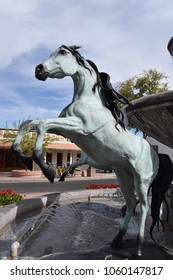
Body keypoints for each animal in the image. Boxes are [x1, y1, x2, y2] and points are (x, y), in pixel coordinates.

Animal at [11, 44, 173, 258]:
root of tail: (157, 154)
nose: (39, 70)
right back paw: (117, 240)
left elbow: (42, 124)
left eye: (63, 52)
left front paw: (47, 169)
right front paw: (22, 156)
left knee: (144, 205)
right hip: (124, 175)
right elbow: (30, 124)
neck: (88, 100)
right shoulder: (65, 128)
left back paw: (138, 248)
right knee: (131, 203)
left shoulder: (78, 127)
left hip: (142, 179)